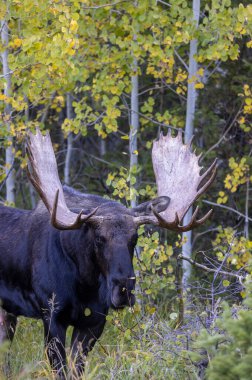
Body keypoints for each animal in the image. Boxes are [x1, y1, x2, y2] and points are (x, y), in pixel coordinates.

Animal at [0, 130, 217, 378]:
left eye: (135, 238)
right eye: (99, 238)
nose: (124, 288)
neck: (84, 284)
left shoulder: (94, 321)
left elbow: (77, 369)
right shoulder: (52, 315)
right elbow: (61, 370)